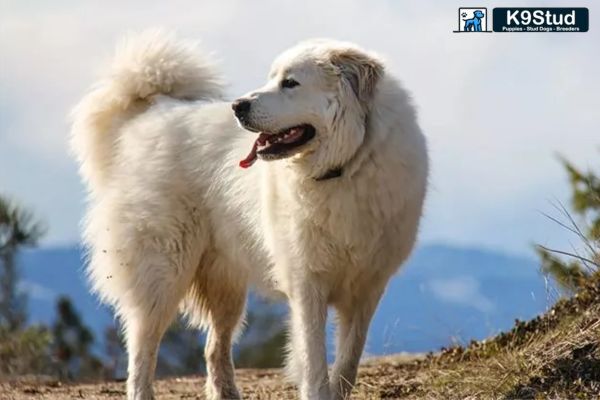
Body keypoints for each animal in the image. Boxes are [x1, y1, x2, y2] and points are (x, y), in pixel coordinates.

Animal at [69, 32, 426, 400]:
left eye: (290, 83)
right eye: (272, 78)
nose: (238, 106)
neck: (344, 167)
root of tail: (152, 111)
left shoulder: (367, 287)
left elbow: (348, 361)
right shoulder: (306, 283)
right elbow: (313, 359)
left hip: (226, 285)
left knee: (214, 347)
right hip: (162, 272)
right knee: (142, 347)